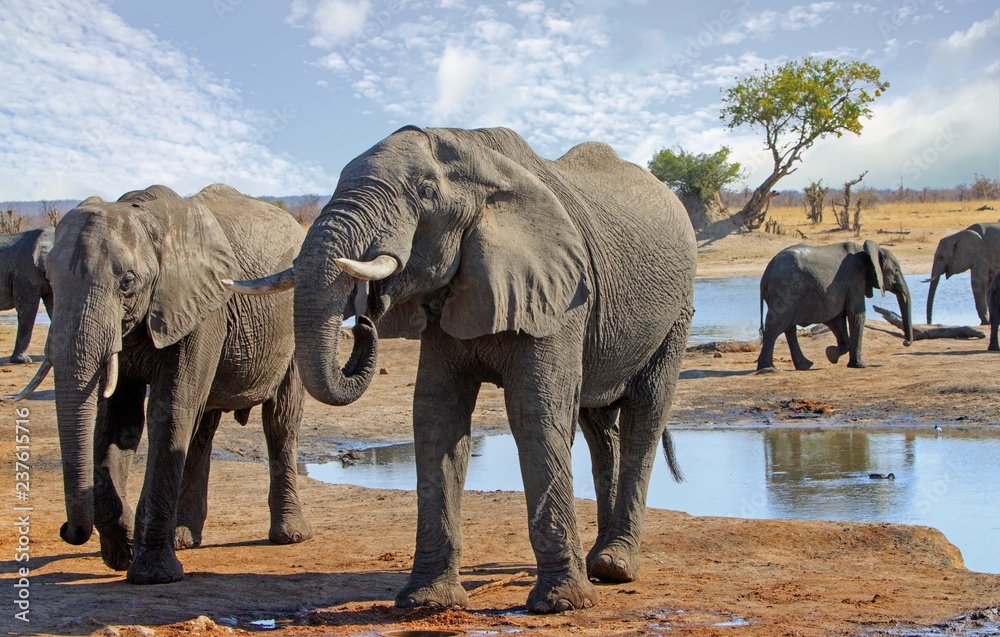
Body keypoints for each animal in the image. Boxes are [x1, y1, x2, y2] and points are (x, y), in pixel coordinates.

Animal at [22, 184, 312, 585]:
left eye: (127, 283)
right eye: (49, 281)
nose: (67, 530)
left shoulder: (202, 311)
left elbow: (169, 412)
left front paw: (153, 574)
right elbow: (118, 423)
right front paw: (122, 553)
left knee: (280, 420)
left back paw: (289, 536)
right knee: (202, 428)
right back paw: (184, 538)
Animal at [228, 126, 696, 613]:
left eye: (425, 192)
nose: (366, 314)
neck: (478, 157)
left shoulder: (561, 297)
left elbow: (537, 413)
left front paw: (561, 604)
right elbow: (436, 413)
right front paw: (428, 602)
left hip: (677, 313)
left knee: (645, 415)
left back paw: (614, 567)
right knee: (598, 426)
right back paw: (598, 562)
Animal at [757, 240, 914, 371]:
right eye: (896, 271)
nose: (905, 342)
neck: (869, 252)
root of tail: (765, 275)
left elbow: (836, 319)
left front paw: (831, 354)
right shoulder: (856, 278)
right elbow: (856, 314)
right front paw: (859, 365)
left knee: (788, 329)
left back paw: (805, 366)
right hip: (785, 291)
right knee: (775, 326)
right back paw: (768, 369)